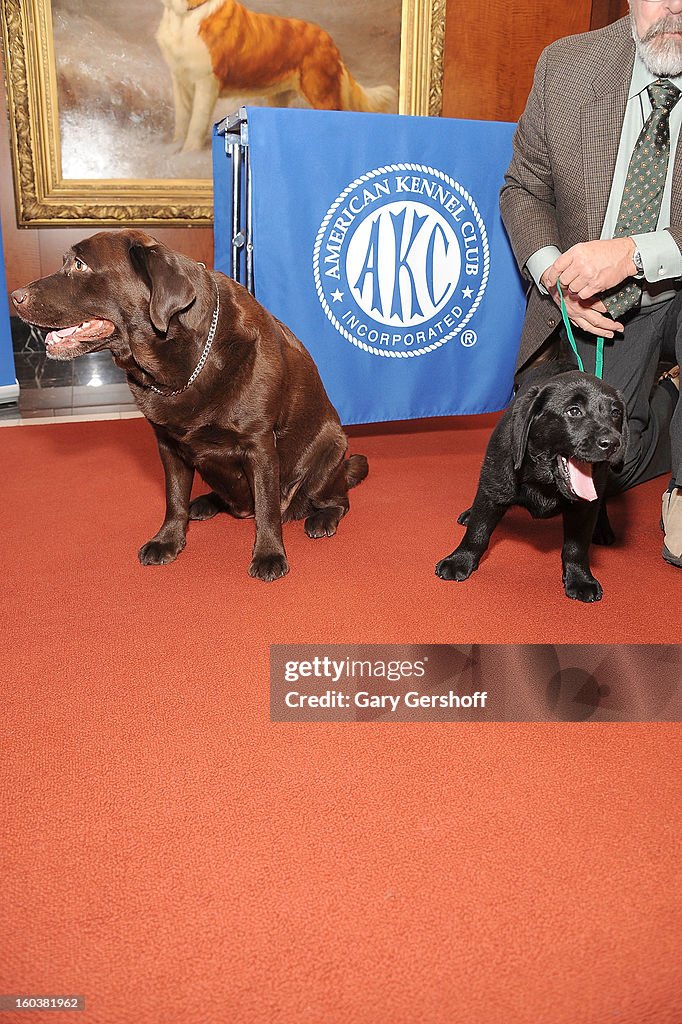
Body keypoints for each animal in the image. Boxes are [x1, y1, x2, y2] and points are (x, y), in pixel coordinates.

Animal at [436, 360, 626, 598]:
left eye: (615, 413)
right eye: (573, 411)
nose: (613, 443)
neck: (543, 479)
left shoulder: (584, 508)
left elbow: (576, 546)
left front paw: (580, 579)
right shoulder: (494, 484)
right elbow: (478, 530)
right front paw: (460, 560)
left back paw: (602, 529)